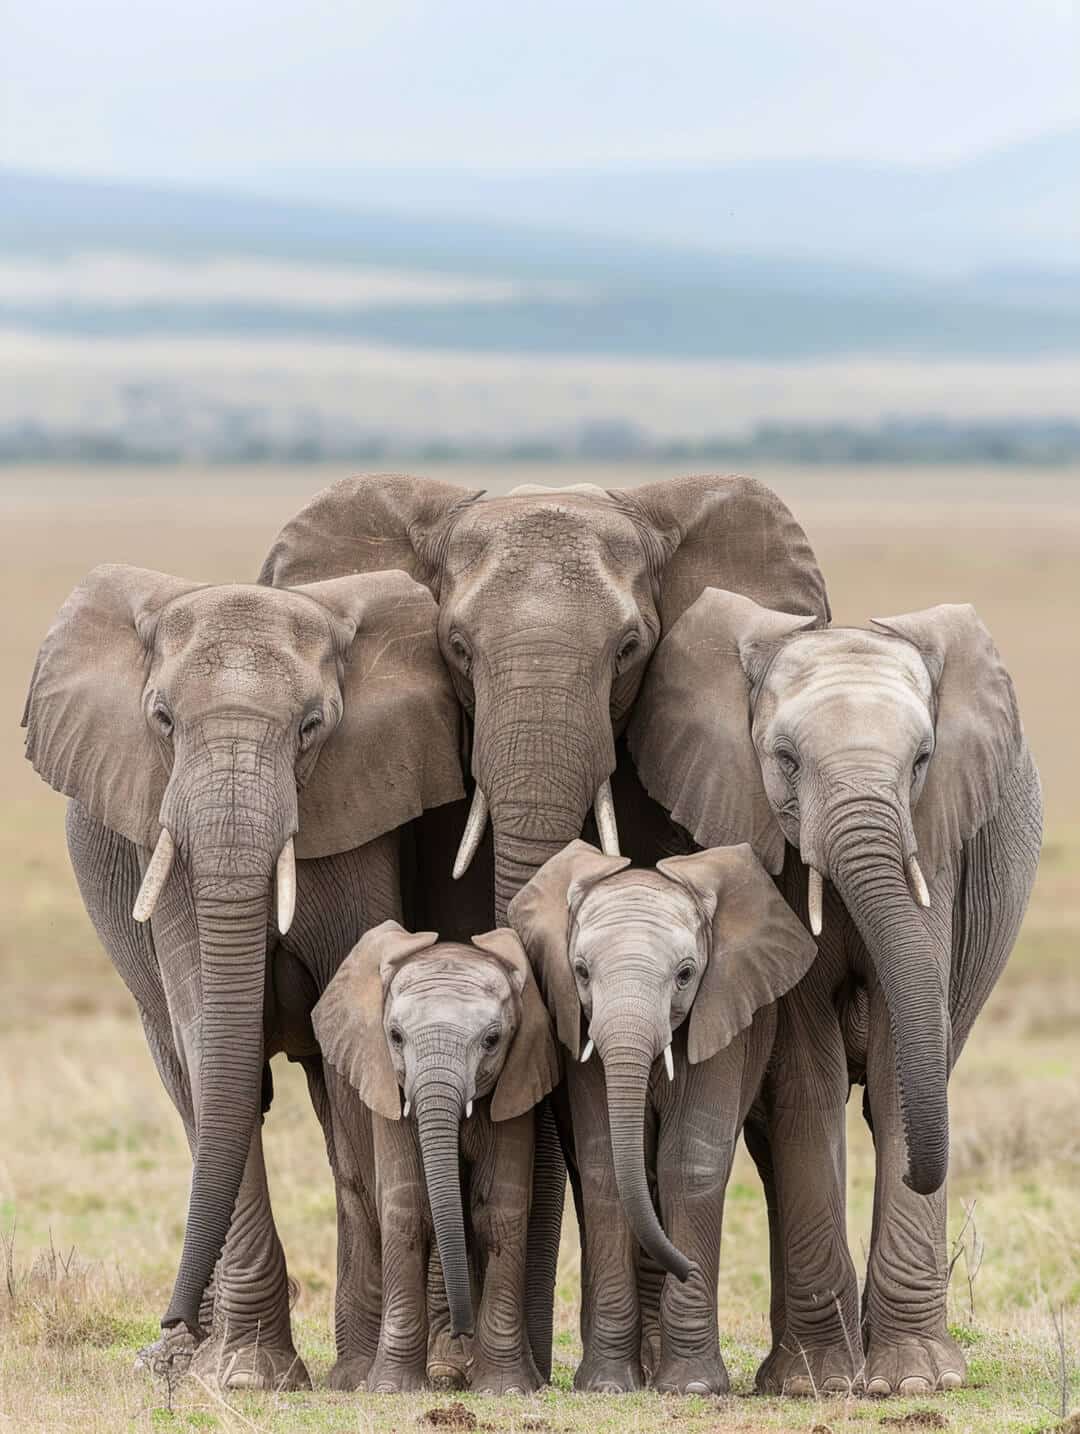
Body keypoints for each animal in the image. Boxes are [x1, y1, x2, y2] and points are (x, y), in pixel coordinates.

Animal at [22, 564, 464, 1388]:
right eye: (162, 720)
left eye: (312, 727)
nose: (169, 1315)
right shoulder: (160, 837)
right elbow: (208, 1037)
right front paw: (250, 1376)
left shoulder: (362, 819)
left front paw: (356, 1376)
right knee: (189, 1091)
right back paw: (183, 1359)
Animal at [310, 920, 559, 1394]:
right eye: (394, 1036)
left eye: (493, 1040)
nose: (464, 1330)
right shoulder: (386, 1085)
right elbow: (407, 1207)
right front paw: (391, 1390)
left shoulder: (517, 1083)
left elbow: (498, 1209)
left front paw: (505, 1388)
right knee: (359, 1199)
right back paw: (359, 1377)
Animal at [508, 839, 816, 1394]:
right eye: (581, 972)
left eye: (686, 974)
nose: (687, 1267)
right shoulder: (580, 1033)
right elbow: (605, 1165)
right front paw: (607, 1387)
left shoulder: (722, 1016)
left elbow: (690, 1163)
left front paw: (692, 1387)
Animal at [628, 590, 1043, 1396]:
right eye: (786, 761)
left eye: (922, 762)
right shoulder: (772, 859)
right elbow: (808, 1074)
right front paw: (817, 1383)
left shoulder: (933, 851)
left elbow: (896, 1071)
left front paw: (913, 1381)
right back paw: (793, 1369)